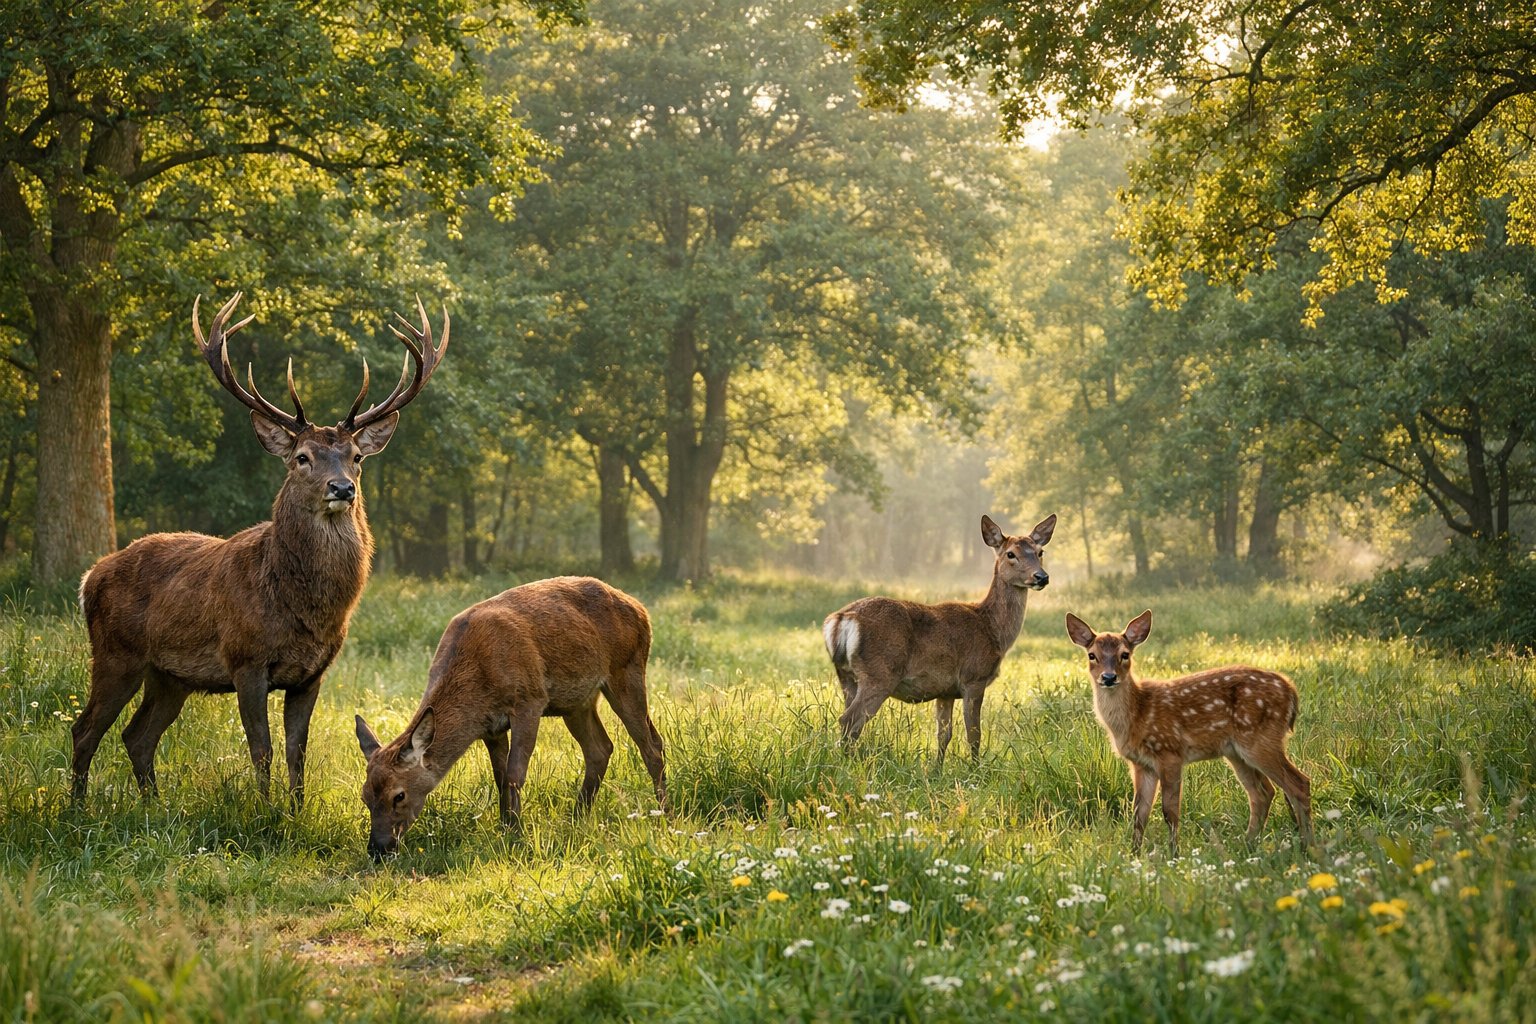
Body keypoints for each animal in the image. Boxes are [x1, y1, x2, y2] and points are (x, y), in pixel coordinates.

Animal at [72, 292, 448, 806]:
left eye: (356, 457)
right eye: (302, 458)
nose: (342, 488)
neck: (305, 609)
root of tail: (90, 577)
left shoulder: (313, 673)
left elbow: (297, 751)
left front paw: (295, 811)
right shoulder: (245, 660)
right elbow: (262, 748)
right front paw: (264, 811)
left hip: (169, 676)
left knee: (137, 735)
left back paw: (152, 806)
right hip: (116, 653)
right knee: (85, 729)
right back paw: (76, 808)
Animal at [353, 576, 668, 860]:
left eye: (399, 795)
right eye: (365, 796)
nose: (378, 849)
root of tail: (641, 610)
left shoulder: (529, 700)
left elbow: (515, 774)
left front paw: (516, 834)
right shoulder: (491, 728)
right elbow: (500, 777)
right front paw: (505, 826)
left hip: (627, 670)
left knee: (652, 744)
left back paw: (664, 814)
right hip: (578, 702)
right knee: (601, 749)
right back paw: (576, 818)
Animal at [822, 513, 1055, 769]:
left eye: (1040, 551)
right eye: (1011, 554)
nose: (1041, 577)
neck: (992, 630)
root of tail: (842, 619)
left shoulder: (945, 690)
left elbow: (944, 734)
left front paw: (937, 770)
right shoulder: (974, 677)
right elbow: (974, 733)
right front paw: (976, 770)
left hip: (846, 675)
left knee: (849, 724)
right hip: (880, 673)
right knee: (848, 720)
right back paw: (848, 766)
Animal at [1065, 610, 1313, 856]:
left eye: (1124, 654)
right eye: (1092, 655)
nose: (1108, 677)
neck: (1138, 714)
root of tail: (1291, 691)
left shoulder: (1170, 752)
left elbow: (1170, 811)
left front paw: (1174, 855)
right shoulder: (1141, 764)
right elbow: (1139, 814)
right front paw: (1133, 856)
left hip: (1260, 739)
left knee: (1298, 783)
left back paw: (1307, 847)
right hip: (1236, 752)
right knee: (1262, 793)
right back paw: (1248, 845)